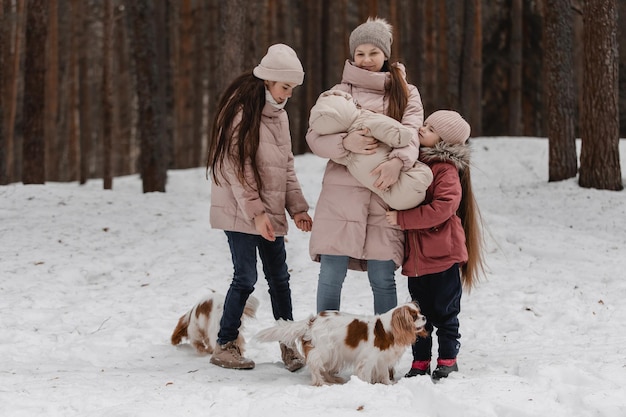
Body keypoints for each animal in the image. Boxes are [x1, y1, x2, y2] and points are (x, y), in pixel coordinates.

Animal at [254, 300, 424, 386]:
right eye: (414, 316)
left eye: (419, 312)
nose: (425, 317)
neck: (386, 329)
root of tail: (311, 321)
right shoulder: (367, 360)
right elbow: (365, 374)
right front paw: (366, 386)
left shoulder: (382, 359)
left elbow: (384, 374)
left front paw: (388, 384)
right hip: (324, 350)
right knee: (315, 367)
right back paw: (321, 383)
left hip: (332, 353)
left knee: (324, 368)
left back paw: (333, 380)